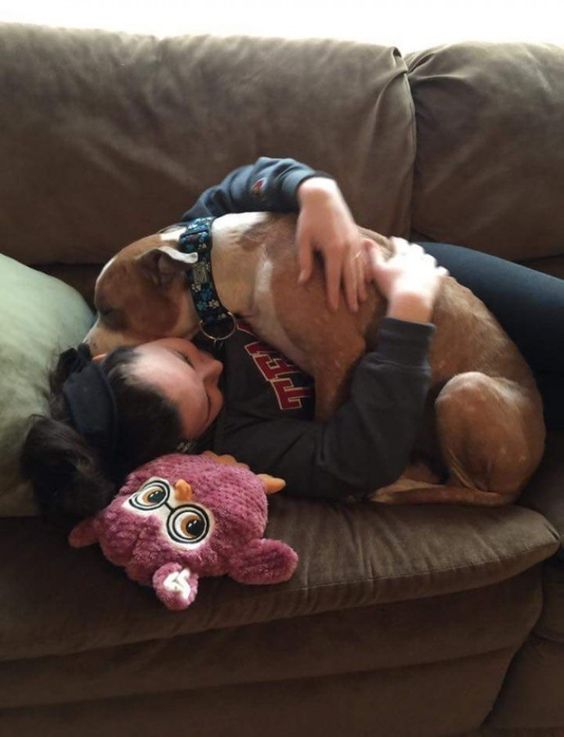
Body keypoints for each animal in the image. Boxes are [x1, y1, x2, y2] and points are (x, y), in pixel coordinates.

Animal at [85, 210, 548, 504]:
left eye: (109, 310)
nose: (82, 349)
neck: (220, 267)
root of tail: (526, 476)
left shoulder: (338, 358)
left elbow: (326, 422)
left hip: (464, 389)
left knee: (469, 488)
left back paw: (400, 487)